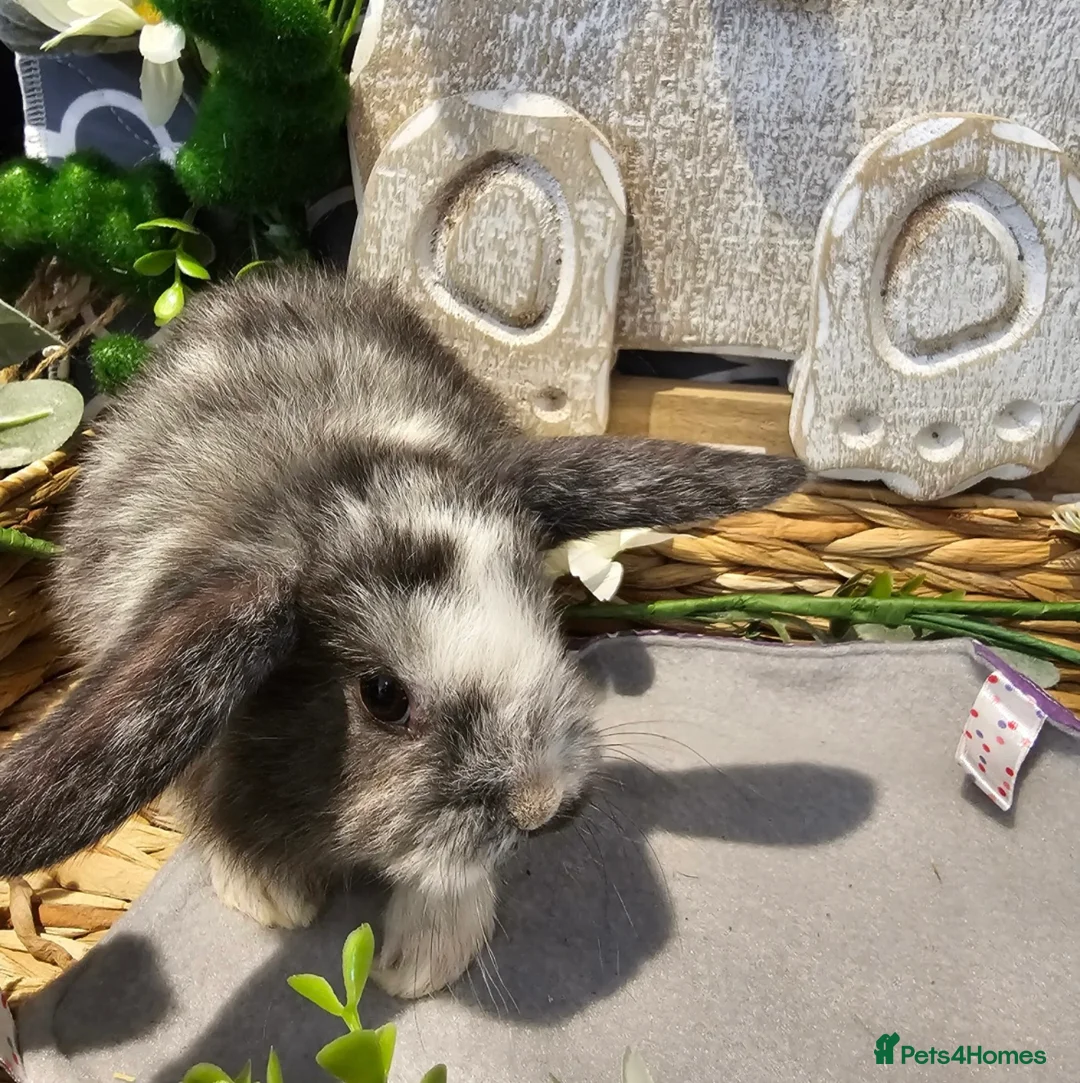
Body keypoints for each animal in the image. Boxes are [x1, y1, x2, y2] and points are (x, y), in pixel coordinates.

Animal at [0, 267, 806, 998]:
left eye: (545, 617)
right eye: (382, 695)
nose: (544, 806)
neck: (331, 481)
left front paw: (420, 961)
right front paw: (272, 896)